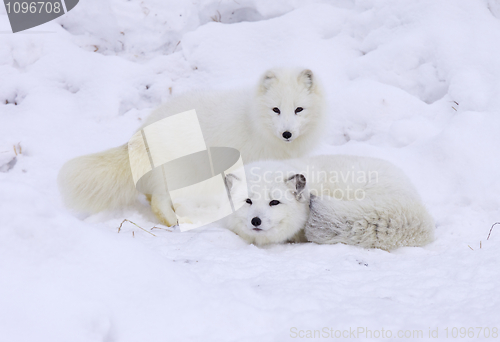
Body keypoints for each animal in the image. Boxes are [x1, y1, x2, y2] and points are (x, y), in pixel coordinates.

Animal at [58, 68, 326, 226]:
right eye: (276, 109)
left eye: (299, 109)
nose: (287, 133)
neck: (254, 122)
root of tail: (141, 129)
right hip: (181, 172)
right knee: (158, 200)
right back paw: (174, 222)